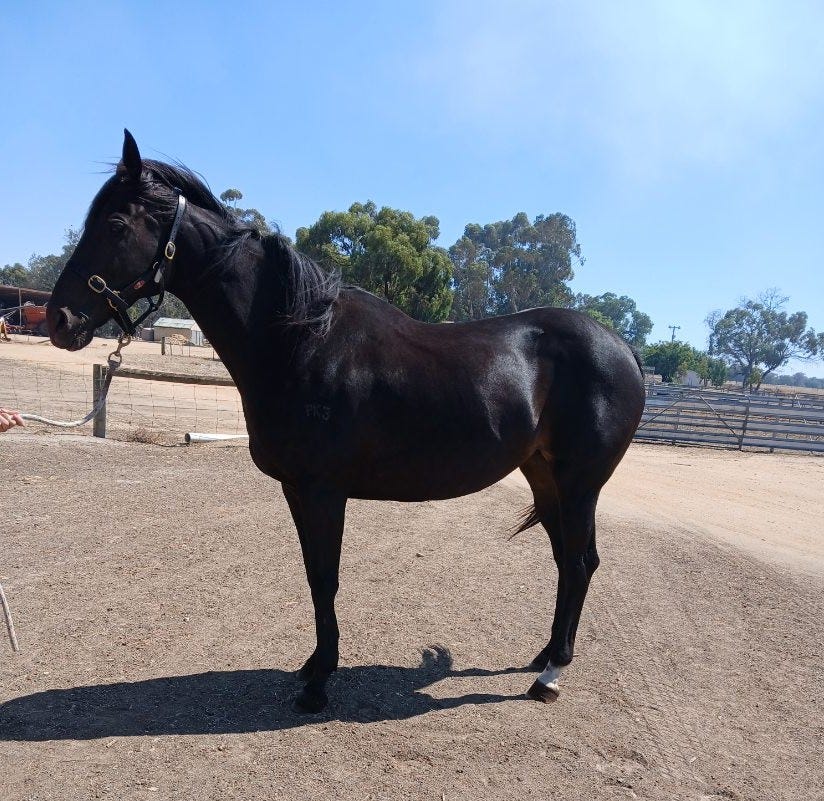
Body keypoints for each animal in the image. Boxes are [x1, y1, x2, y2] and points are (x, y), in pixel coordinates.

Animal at [47, 130, 646, 713]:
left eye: (115, 223)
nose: (58, 319)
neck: (304, 342)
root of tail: (624, 350)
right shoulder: (296, 489)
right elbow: (315, 576)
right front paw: (313, 667)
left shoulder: (323, 491)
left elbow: (327, 577)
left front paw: (318, 684)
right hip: (545, 476)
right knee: (568, 561)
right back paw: (543, 655)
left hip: (579, 483)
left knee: (580, 562)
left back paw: (551, 675)